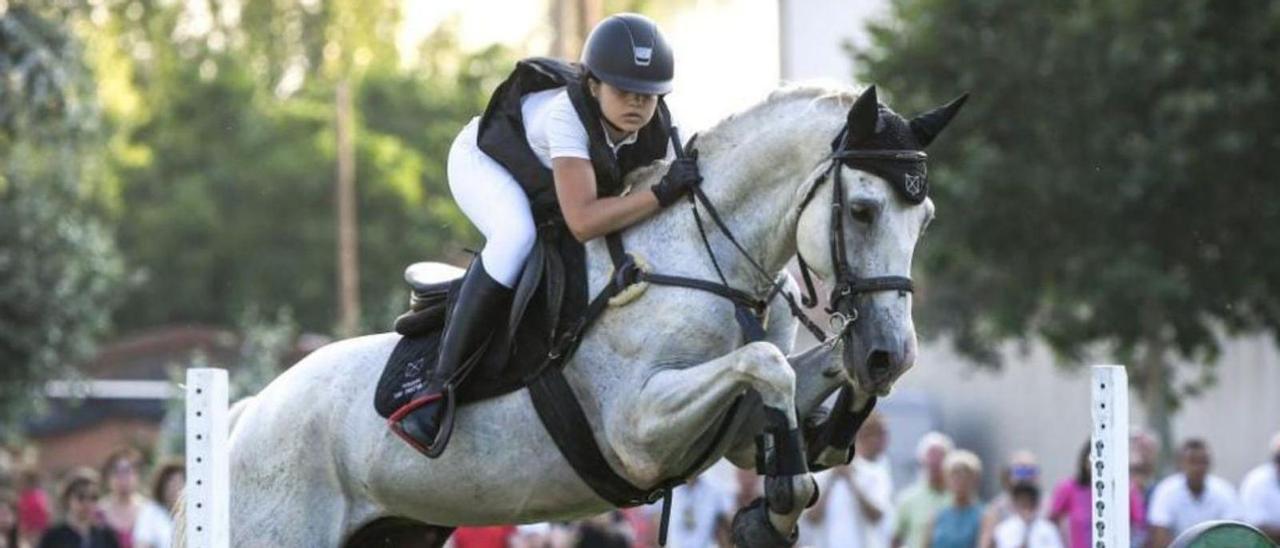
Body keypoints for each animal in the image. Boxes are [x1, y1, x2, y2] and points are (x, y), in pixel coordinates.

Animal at [180, 83, 962, 545]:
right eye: (861, 210)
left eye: (924, 219)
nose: (889, 351)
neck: (710, 261)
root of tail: (248, 415)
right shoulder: (635, 431)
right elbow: (767, 364)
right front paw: (779, 501)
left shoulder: (735, 430)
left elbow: (795, 380)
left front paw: (829, 434)